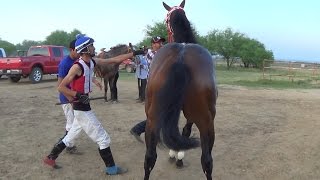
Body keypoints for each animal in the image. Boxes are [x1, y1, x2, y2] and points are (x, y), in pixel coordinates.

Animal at [144, 0, 218, 179]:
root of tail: (181, 58)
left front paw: (176, 155)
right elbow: (184, 131)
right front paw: (178, 156)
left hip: (153, 119)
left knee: (149, 157)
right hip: (206, 122)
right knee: (207, 160)